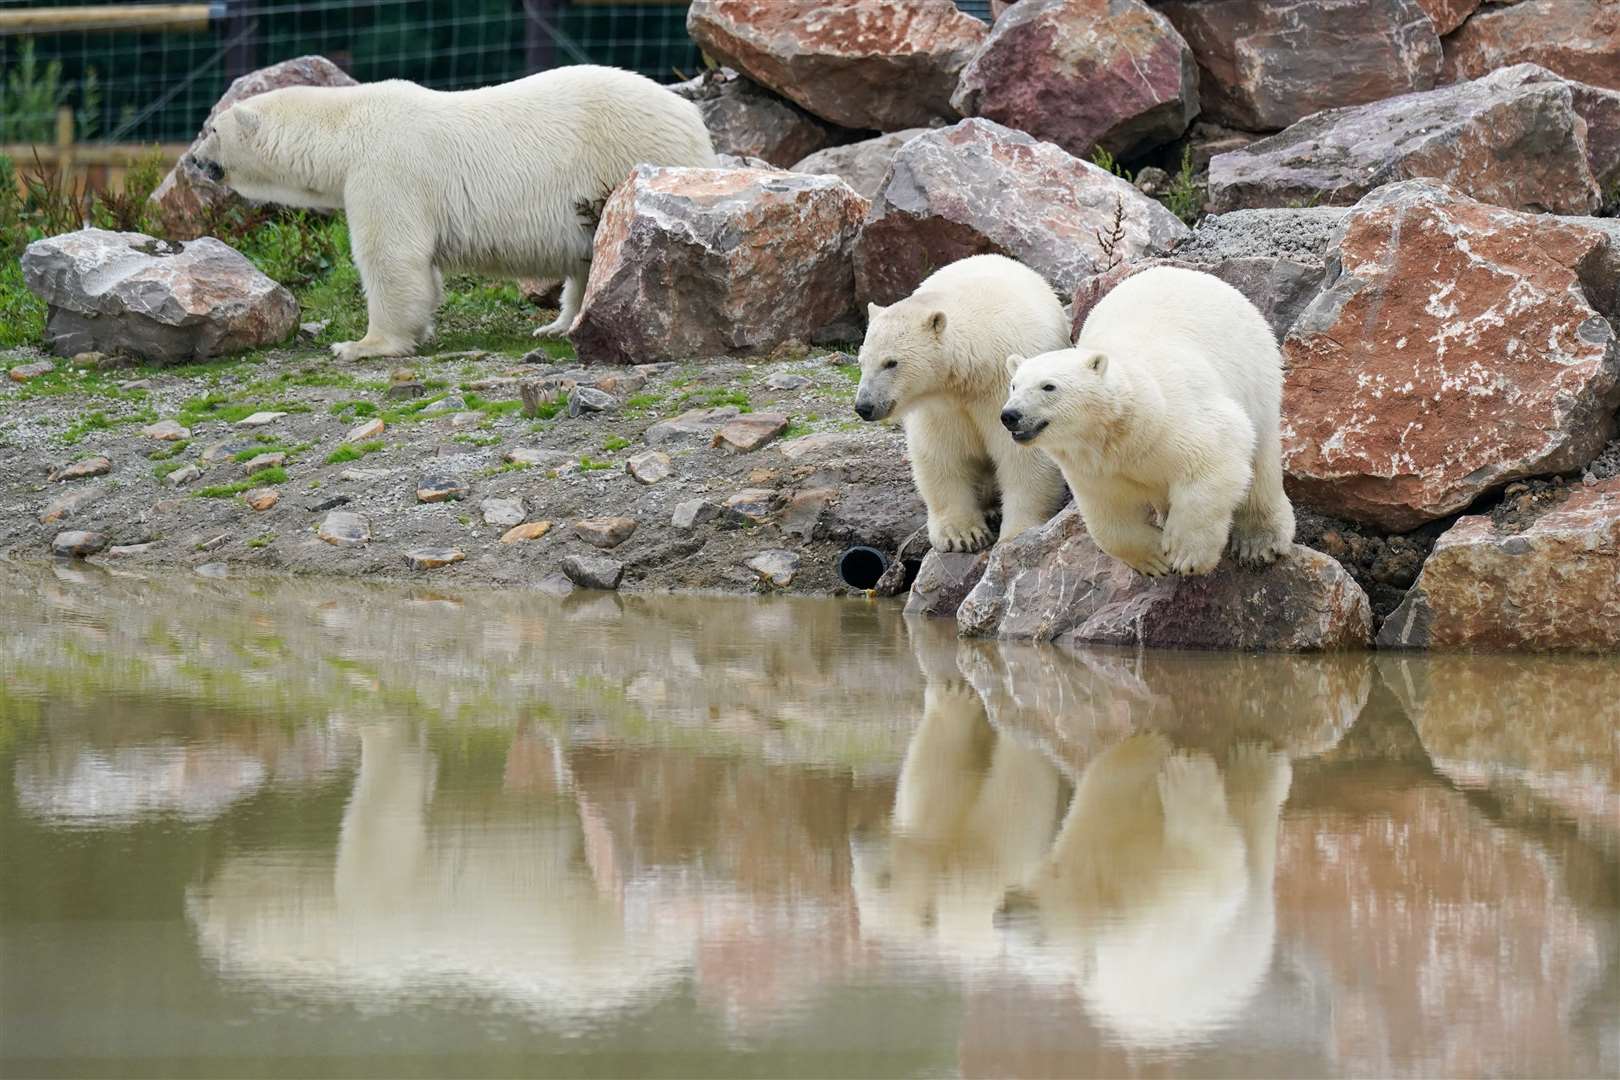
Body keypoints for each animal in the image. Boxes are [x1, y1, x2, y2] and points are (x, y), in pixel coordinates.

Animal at [191, 65, 716, 361]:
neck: (347, 126)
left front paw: (362, 345)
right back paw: (559, 323)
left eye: (211, 128)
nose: (195, 160)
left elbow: (392, 256)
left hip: (628, 158)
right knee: (590, 257)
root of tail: (691, 117)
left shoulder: (386, 169)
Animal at [997, 267, 1289, 579]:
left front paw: (1186, 554)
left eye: (1048, 386)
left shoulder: (1177, 421)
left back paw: (1259, 541)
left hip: (1255, 370)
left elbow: (1215, 458)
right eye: (1014, 385)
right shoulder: (1094, 467)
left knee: (1261, 455)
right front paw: (1154, 559)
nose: (1010, 415)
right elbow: (1108, 512)